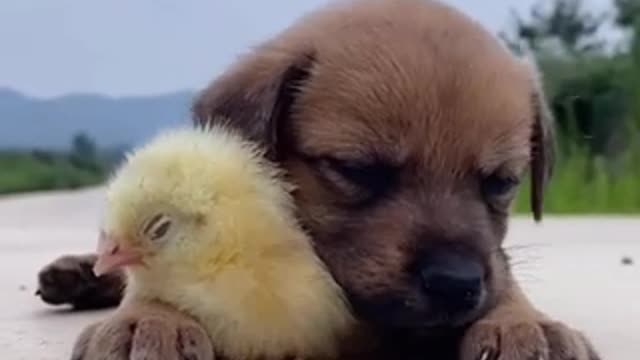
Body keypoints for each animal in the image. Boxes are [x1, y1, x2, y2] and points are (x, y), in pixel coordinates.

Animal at [38, 0, 600, 360]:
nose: (455, 283)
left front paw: (524, 323)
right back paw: (81, 271)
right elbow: (154, 278)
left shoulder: (493, 265)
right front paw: (151, 318)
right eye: (357, 170)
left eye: (502, 182)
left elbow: (506, 281)